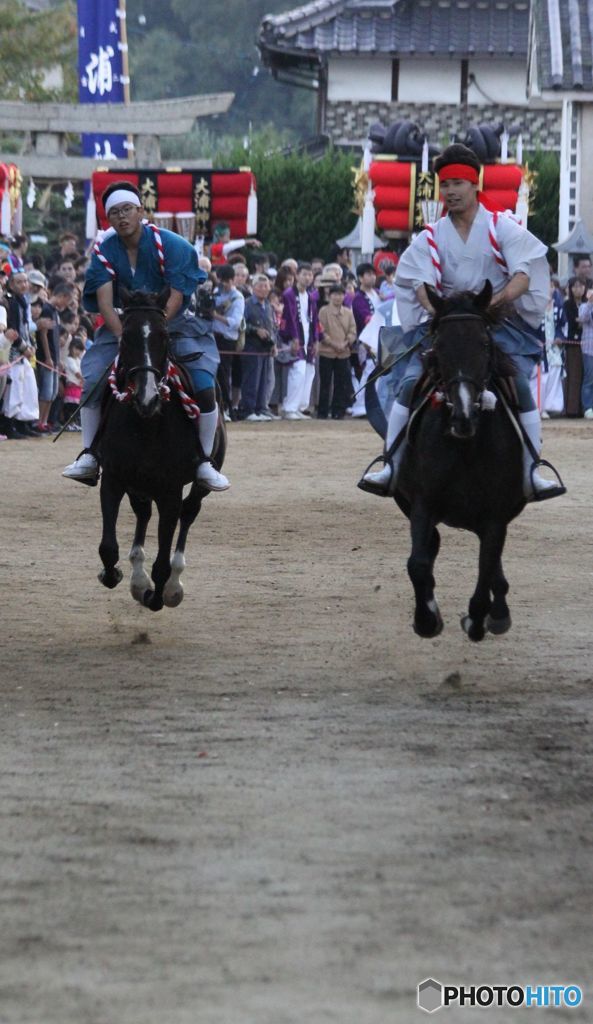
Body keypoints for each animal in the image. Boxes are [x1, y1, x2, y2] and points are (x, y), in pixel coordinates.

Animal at [97, 284, 227, 610]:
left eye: (165, 336)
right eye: (126, 336)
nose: (147, 397)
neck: (147, 424)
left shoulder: (169, 491)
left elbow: (162, 565)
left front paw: (158, 593)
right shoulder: (114, 480)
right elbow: (108, 547)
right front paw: (116, 575)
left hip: (197, 482)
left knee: (189, 512)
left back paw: (172, 583)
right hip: (139, 485)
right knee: (143, 513)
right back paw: (136, 575)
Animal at [395, 280, 528, 643]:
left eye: (484, 343)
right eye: (439, 346)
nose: (464, 415)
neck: (466, 445)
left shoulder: (495, 516)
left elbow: (485, 573)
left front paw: (477, 620)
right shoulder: (422, 502)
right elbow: (417, 563)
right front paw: (426, 619)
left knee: (491, 565)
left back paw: (498, 613)